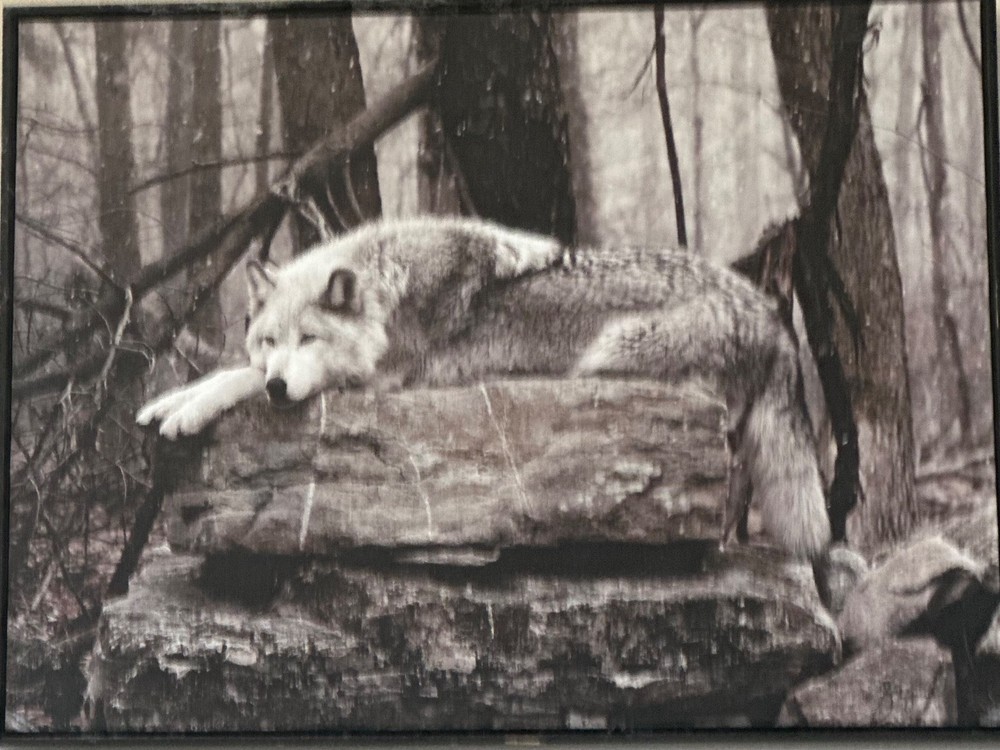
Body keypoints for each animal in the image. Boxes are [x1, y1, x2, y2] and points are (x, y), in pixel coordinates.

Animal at [137, 216, 831, 562]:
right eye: (270, 340)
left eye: (308, 340)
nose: (283, 388)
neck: (389, 292)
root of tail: (769, 314)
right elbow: (232, 370)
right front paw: (166, 402)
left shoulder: (377, 381)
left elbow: (235, 378)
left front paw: (188, 409)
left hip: (609, 360)